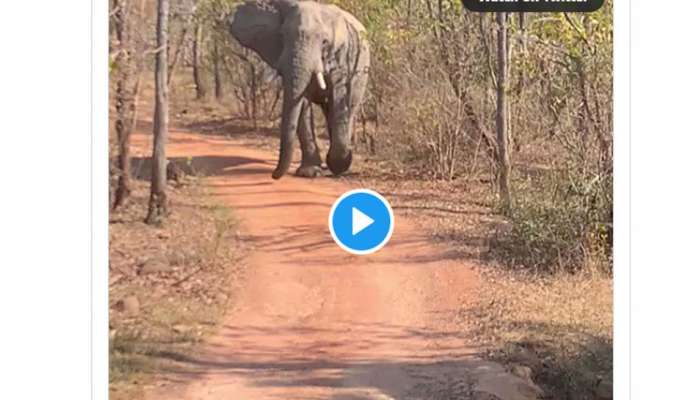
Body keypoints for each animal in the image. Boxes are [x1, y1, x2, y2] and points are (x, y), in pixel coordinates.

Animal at [228, 0, 372, 179]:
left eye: (325, 42)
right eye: (282, 36)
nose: (274, 175)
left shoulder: (344, 58)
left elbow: (340, 98)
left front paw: (338, 166)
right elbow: (302, 103)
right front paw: (309, 172)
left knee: (345, 108)